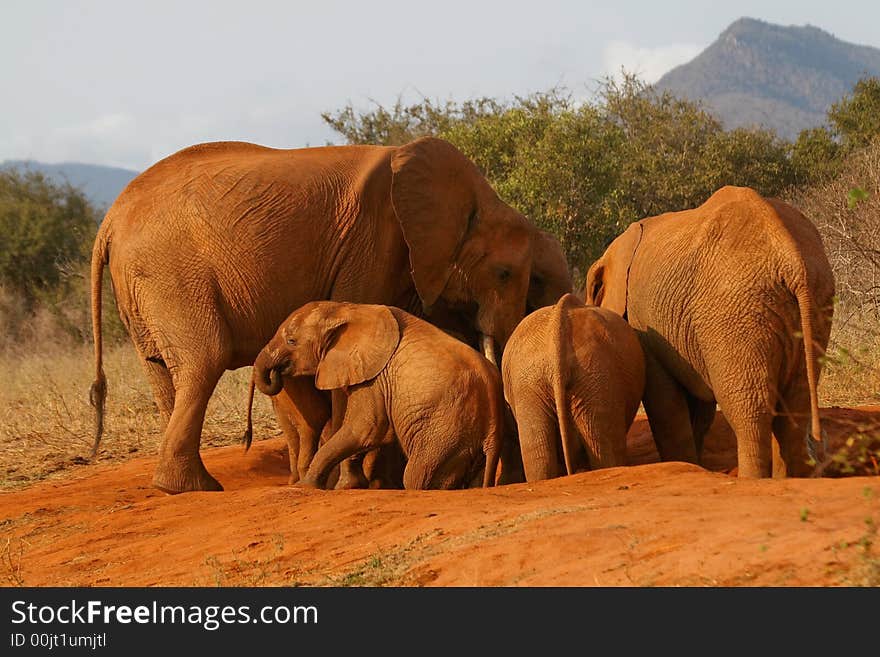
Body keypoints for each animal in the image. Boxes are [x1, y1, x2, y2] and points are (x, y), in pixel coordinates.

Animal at [253, 302, 502, 486]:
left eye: (291, 341)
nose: (276, 374)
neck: (348, 308)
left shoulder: (374, 377)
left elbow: (365, 428)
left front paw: (307, 486)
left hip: (445, 432)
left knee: (415, 475)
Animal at [588, 184, 836, 476]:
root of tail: (790, 258)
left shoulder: (642, 323)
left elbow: (664, 400)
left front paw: (684, 464)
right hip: (816, 302)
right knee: (794, 408)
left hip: (735, 313)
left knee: (751, 413)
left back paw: (752, 480)